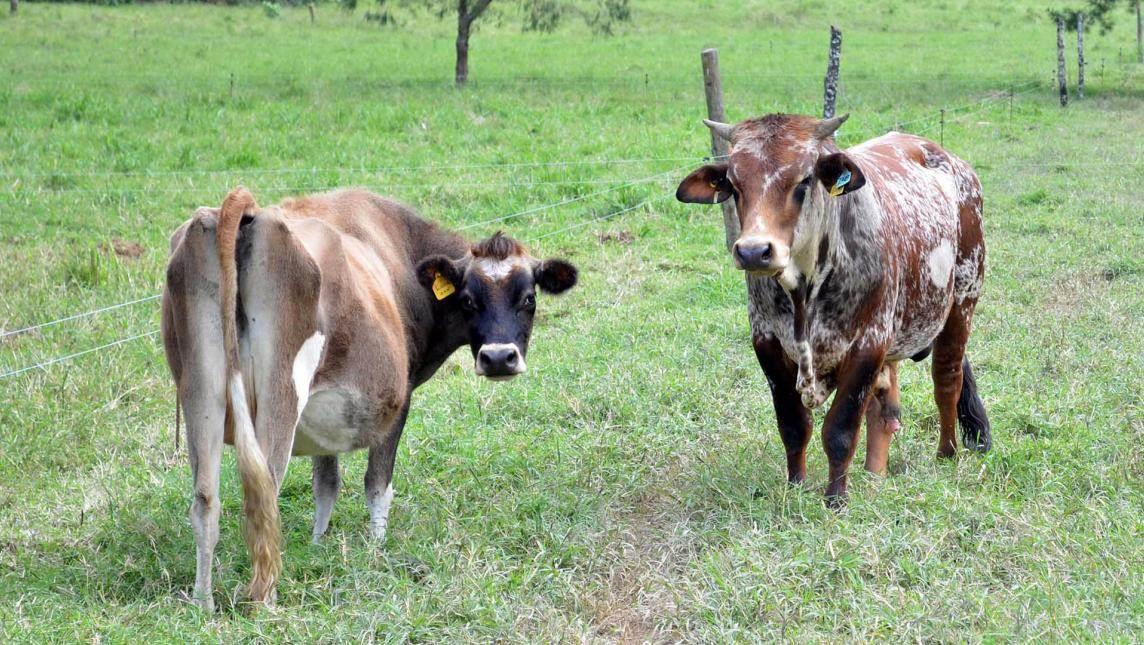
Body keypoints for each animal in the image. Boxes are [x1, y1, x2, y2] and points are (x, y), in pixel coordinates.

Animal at [159, 187, 581, 608]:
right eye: (467, 300)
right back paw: (266, 602)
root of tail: (246, 209)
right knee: (264, 494)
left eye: (528, 298)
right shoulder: (399, 400)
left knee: (206, 500)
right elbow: (378, 484)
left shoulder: (322, 417)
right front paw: (377, 551)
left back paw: (203, 601)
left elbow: (326, 484)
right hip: (281, 391)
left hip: (200, 390)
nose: (498, 358)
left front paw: (318, 545)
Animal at [672, 113, 988, 505]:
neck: (803, 292)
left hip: (962, 301)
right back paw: (874, 473)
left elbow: (839, 430)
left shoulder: (867, 344)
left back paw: (947, 453)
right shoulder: (766, 343)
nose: (754, 251)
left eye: (804, 180)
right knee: (885, 408)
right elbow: (794, 425)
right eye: (733, 183)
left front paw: (835, 499)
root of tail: (951, 161)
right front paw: (796, 485)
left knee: (947, 381)